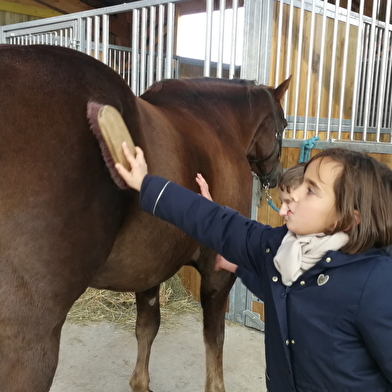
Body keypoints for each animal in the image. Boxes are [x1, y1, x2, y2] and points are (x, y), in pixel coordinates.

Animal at [0, 44, 288, 390]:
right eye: (284, 125)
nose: (276, 177)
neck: (215, 125)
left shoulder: (148, 268)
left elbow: (147, 328)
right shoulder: (217, 270)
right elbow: (214, 337)